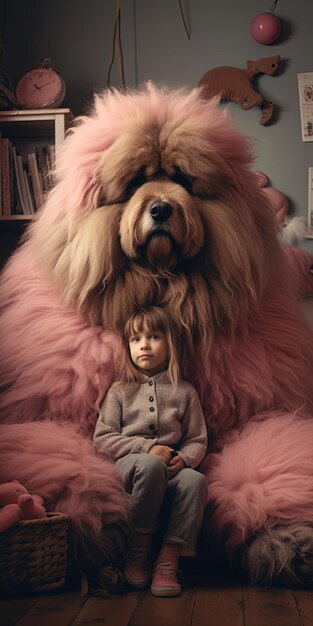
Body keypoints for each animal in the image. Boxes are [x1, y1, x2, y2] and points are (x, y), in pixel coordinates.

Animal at [1, 84, 312, 584]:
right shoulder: (57, 419)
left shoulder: (256, 414)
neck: (164, 290)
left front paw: (285, 534)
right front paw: (94, 522)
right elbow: (63, 461)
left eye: (183, 180)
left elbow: (276, 457)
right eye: (133, 185)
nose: (161, 207)